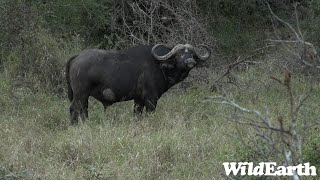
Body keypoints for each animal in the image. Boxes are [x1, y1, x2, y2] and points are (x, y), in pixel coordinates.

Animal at [65, 44, 210, 124]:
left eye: (192, 54)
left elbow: (137, 115)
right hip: (80, 94)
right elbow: (149, 113)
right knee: (74, 109)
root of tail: (78, 56)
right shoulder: (151, 98)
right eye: (179, 54)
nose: (190, 61)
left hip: (83, 96)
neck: (159, 65)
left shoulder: (138, 99)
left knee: (83, 110)